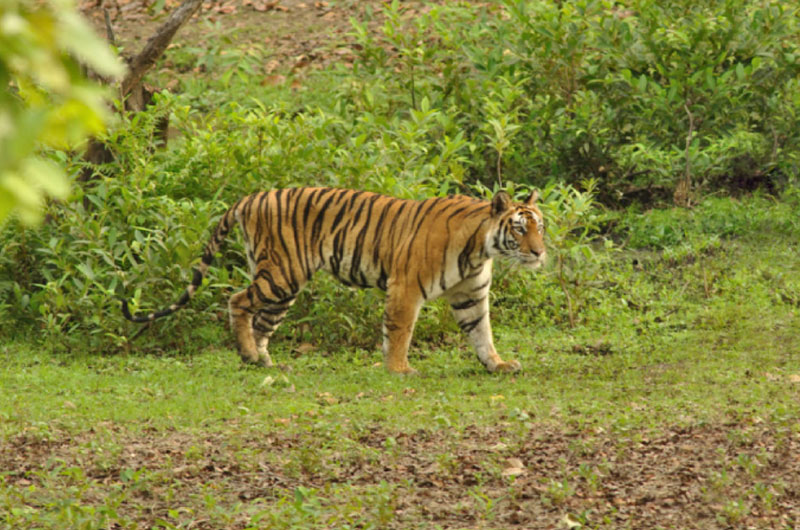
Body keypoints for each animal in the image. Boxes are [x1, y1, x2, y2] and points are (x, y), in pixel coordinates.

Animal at [122, 186, 548, 372]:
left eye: (540, 227)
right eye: (520, 228)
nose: (540, 252)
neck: (480, 249)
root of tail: (250, 197)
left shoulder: (470, 296)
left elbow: (482, 333)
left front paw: (497, 364)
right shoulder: (405, 288)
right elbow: (399, 332)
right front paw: (399, 369)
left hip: (284, 287)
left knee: (261, 322)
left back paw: (263, 361)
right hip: (281, 274)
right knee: (237, 301)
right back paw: (248, 355)